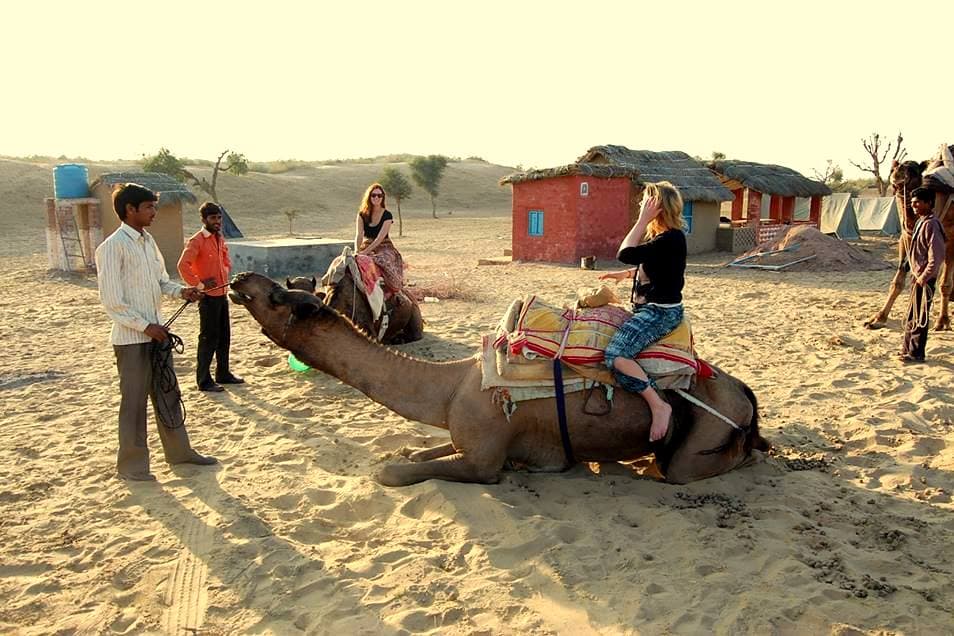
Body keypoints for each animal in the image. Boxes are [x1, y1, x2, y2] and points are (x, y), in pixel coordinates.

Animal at [230, 272, 770, 486]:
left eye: (280, 297)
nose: (239, 280)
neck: (450, 387)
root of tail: (743, 393)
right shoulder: (466, 433)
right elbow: (419, 451)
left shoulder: (484, 459)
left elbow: (398, 471)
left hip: (698, 442)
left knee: (705, 464)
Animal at [864, 159, 954, 331]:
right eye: (894, 168)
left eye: (913, 170)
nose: (898, 173)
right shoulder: (906, 236)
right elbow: (898, 280)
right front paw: (877, 319)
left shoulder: (950, 238)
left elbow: (944, 284)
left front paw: (942, 321)